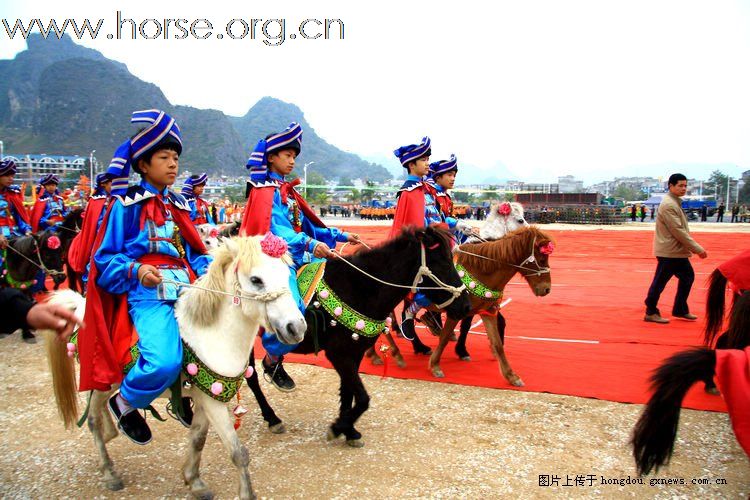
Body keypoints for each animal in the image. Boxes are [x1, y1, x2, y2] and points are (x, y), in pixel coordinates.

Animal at [43, 235, 306, 500]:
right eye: (256, 280)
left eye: (286, 274)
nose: (296, 327)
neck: (212, 334)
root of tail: (81, 304)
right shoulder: (214, 404)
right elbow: (238, 452)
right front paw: (246, 493)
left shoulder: (206, 397)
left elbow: (198, 440)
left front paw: (194, 481)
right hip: (105, 379)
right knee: (94, 417)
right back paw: (110, 468)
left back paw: (115, 431)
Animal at [247, 227, 470, 446]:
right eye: (441, 263)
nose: (466, 306)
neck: (359, 289)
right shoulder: (339, 355)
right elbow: (363, 398)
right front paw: (338, 428)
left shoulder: (353, 353)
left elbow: (348, 393)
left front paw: (348, 429)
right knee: (252, 378)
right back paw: (272, 417)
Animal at [426, 227, 556, 386]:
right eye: (542, 259)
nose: (547, 289)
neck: (479, 271)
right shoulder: (456, 312)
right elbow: (444, 338)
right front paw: (435, 365)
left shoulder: (487, 312)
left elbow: (497, 343)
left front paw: (511, 375)